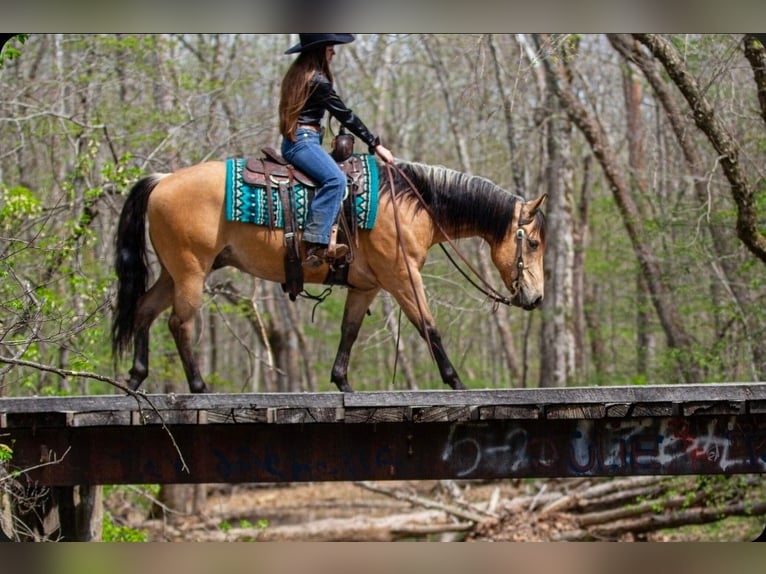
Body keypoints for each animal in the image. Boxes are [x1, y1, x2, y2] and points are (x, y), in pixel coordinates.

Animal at [111, 158, 547, 393]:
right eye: (534, 242)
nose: (537, 298)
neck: (410, 202)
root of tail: (162, 180)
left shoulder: (368, 286)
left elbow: (349, 331)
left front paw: (342, 382)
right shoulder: (402, 277)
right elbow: (429, 326)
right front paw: (456, 383)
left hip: (173, 273)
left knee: (144, 311)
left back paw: (135, 378)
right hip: (191, 271)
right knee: (179, 323)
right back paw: (199, 387)